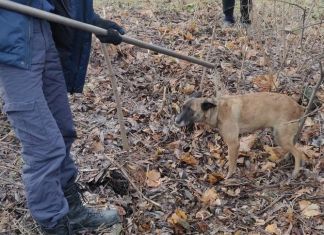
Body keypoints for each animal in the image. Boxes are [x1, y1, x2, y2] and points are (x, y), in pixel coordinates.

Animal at [176, 92, 306, 178]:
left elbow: (232, 165)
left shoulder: (233, 144)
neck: (218, 110)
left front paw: (228, 177)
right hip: (280, 137)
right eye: (183, 108)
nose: (176, 120)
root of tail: (298, 107)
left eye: (191, 111)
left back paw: (295, 172)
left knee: (298, 153)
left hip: (281, 136)